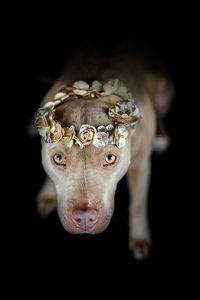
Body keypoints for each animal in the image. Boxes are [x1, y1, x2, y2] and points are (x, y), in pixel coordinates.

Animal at [35, 43, 174, 258]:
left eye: (109, 158)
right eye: (58, 158)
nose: (84, 217)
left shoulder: (141, 164)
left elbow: (138, 203)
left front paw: (139, 238)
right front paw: (48, 194)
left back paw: (160, 135)